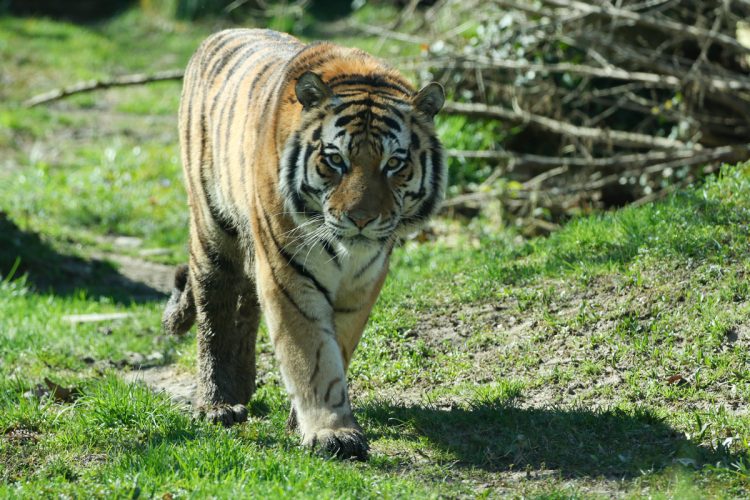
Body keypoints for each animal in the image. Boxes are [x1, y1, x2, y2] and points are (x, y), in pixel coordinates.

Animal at [163, 29, 446, 460]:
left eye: (394, 164)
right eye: (336, 160)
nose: (361, 219)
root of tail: (219, 33)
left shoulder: (363, 283)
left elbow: (337, 347)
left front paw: (304, 420)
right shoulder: (289, 273)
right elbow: (311, 352)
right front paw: (333, 433)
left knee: (246, 307)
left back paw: (243, 386)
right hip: (213, 228)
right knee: (215, 307)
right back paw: (217, 403)